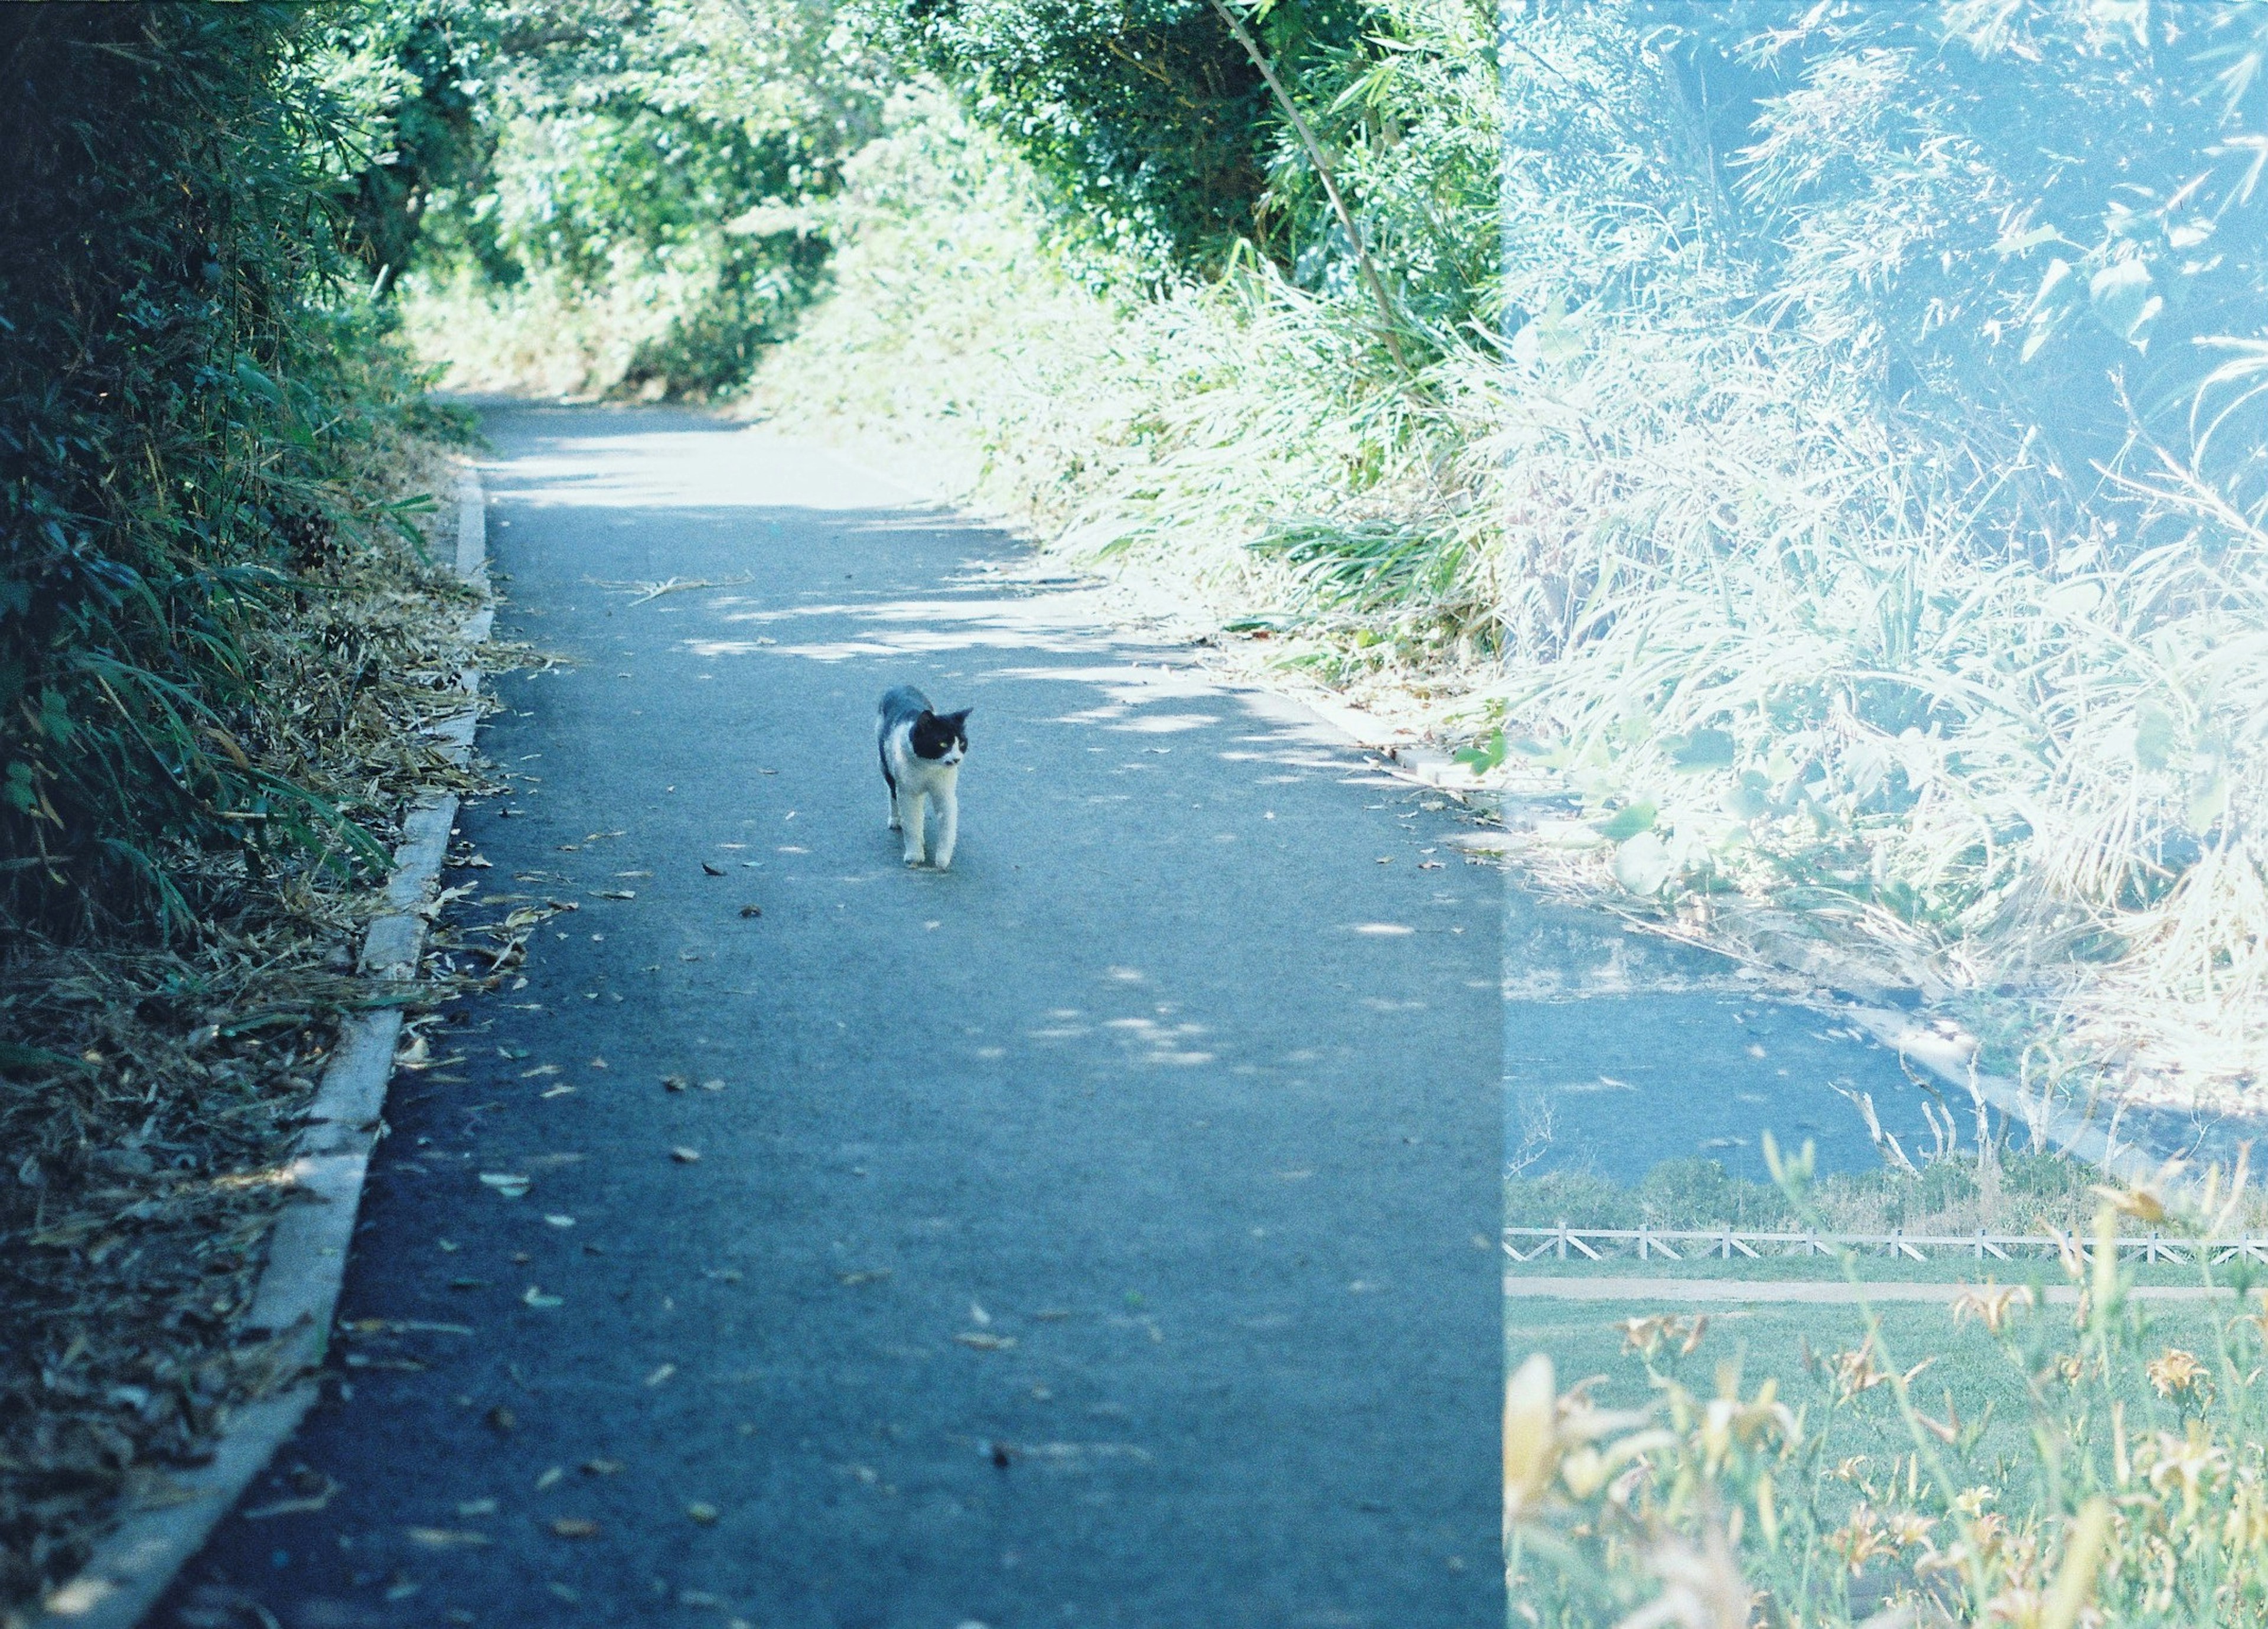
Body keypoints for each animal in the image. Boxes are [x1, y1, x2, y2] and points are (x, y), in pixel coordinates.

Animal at [871, 685, 970, 866]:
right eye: (943, 744)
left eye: (961, 743)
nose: (956, 759)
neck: (928, 767)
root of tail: (900, 685)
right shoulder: (908, 793)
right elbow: (912, 824)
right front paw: (914, 855)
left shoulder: (945, 794)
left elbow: (948, 827)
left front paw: (943, 859)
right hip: (884, 765)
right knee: (892, 793)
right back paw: (895, 820)